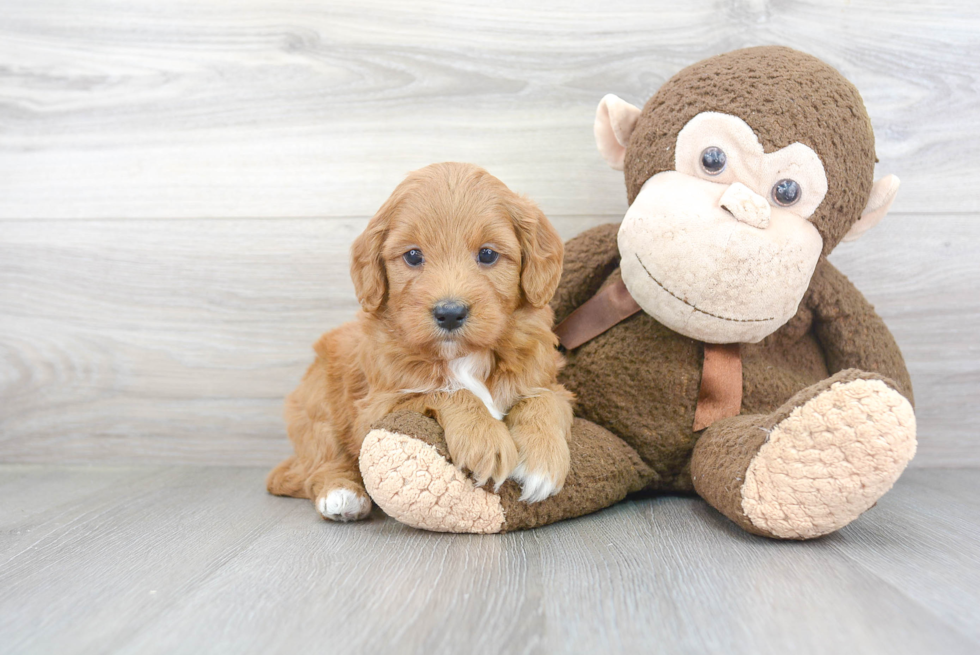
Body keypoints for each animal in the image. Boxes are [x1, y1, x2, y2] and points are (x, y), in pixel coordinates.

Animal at [268, 164, 576, 524]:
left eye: (487, 254)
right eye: (413, 256)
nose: (450, 313)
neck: (463, 356)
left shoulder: (547, 382)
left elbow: (543, 400)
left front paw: (543, 460)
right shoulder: (375, 408)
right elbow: (448, 391)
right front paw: (485, 438)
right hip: (317, 405)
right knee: (322, 461)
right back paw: (342, 495)